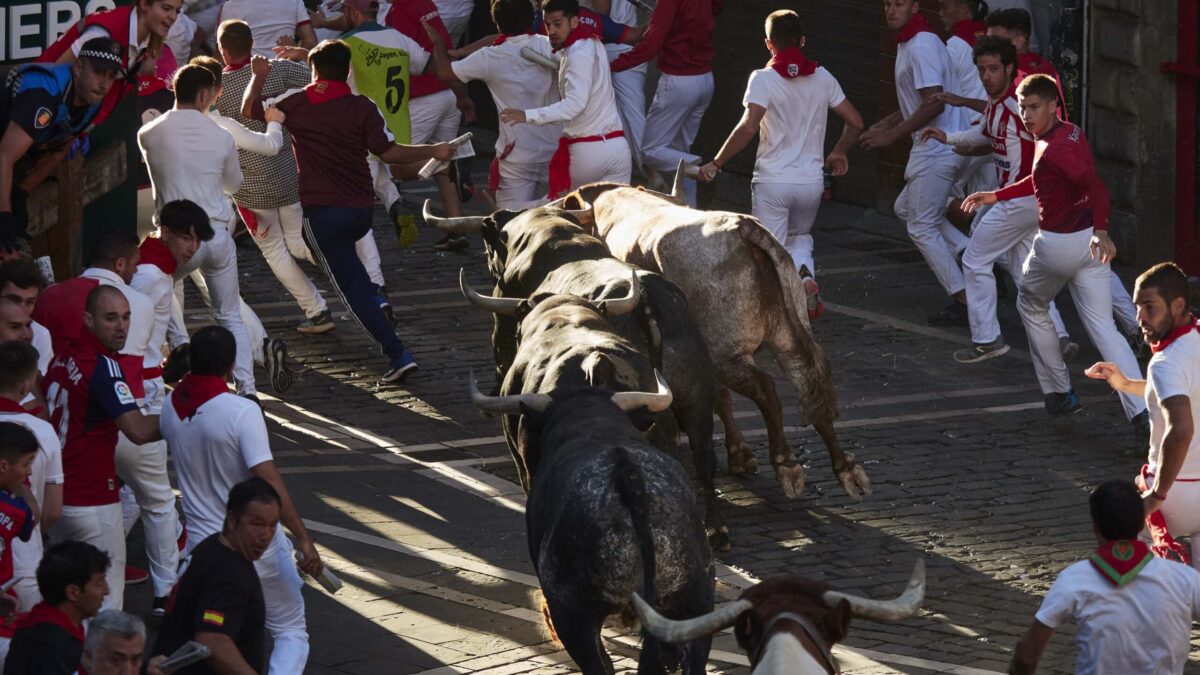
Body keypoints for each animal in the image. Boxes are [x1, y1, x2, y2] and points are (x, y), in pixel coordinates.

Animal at [566, 176, 868, 502]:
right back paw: (845, 468)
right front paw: (739, 455)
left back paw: (785, 463)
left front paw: (737, 454)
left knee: (765, 387)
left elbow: (719, 398)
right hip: (786, 333)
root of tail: (742, 228)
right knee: (810, 377)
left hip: (724, 351)